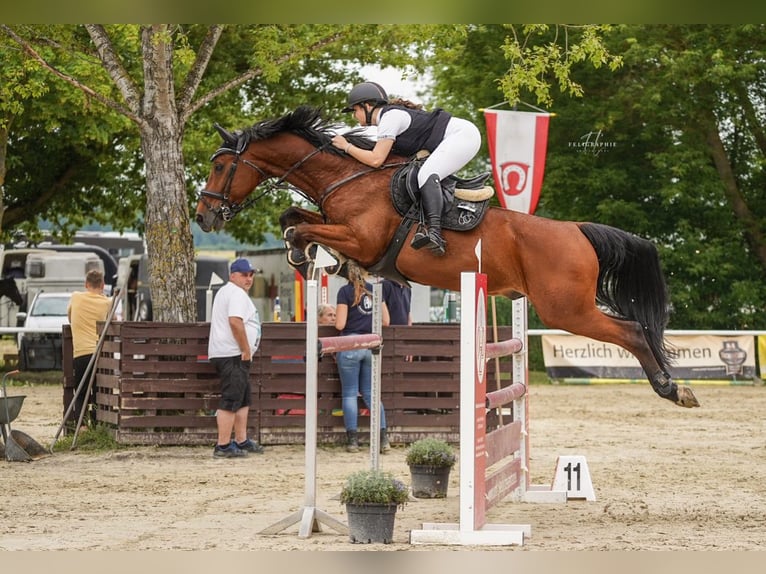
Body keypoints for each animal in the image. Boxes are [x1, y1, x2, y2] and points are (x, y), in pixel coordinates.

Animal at [196, 104, 704, 410]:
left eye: (219, 166)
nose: (204, 214)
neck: (347, 178)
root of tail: (576, 230)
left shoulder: (363, 239)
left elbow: (303, 227)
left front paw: (304, 255)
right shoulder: (338, 224)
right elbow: (295, 215)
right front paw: (325, 262)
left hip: (567, 308)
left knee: (632, 330)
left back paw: (672, 389)